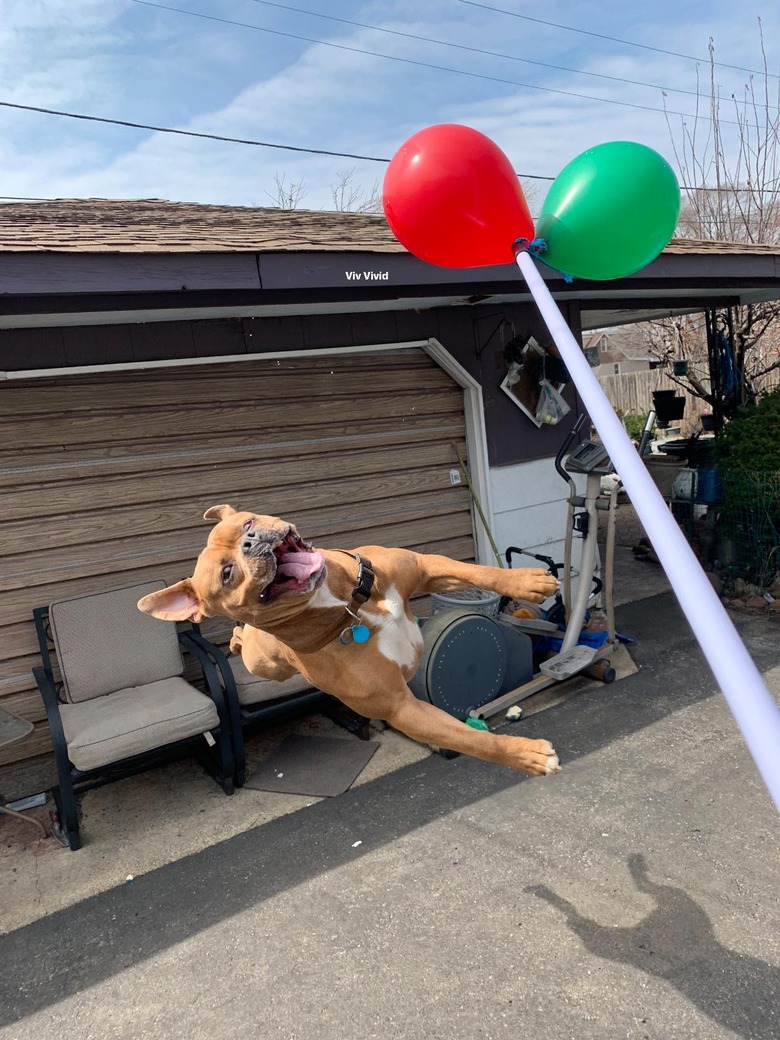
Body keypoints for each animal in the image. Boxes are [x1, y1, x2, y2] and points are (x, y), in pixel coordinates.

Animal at [139, 507, 561, 777]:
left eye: (247, 522)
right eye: (226, 574)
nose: (251, 540)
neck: (347, 606)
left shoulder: (424, 566)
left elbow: (477, 571)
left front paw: (528, 581)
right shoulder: (403, 709)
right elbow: (473, 741)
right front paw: (527, 754)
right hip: (266, 666)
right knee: (246, 643)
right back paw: (237, 638)